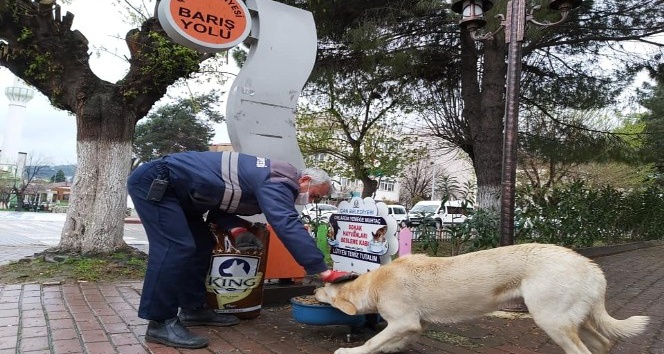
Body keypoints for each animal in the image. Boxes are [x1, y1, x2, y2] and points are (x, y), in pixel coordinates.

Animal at [316, 243, 648, 354]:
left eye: (325, 291)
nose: (314, 289)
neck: (374, 283)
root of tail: (591, 267)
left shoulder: (403, 321)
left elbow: (373, 341)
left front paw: (353, 351)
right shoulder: (413, 325)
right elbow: (389, 342)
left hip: (552, 321)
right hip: (574, 321)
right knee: (602, 343)